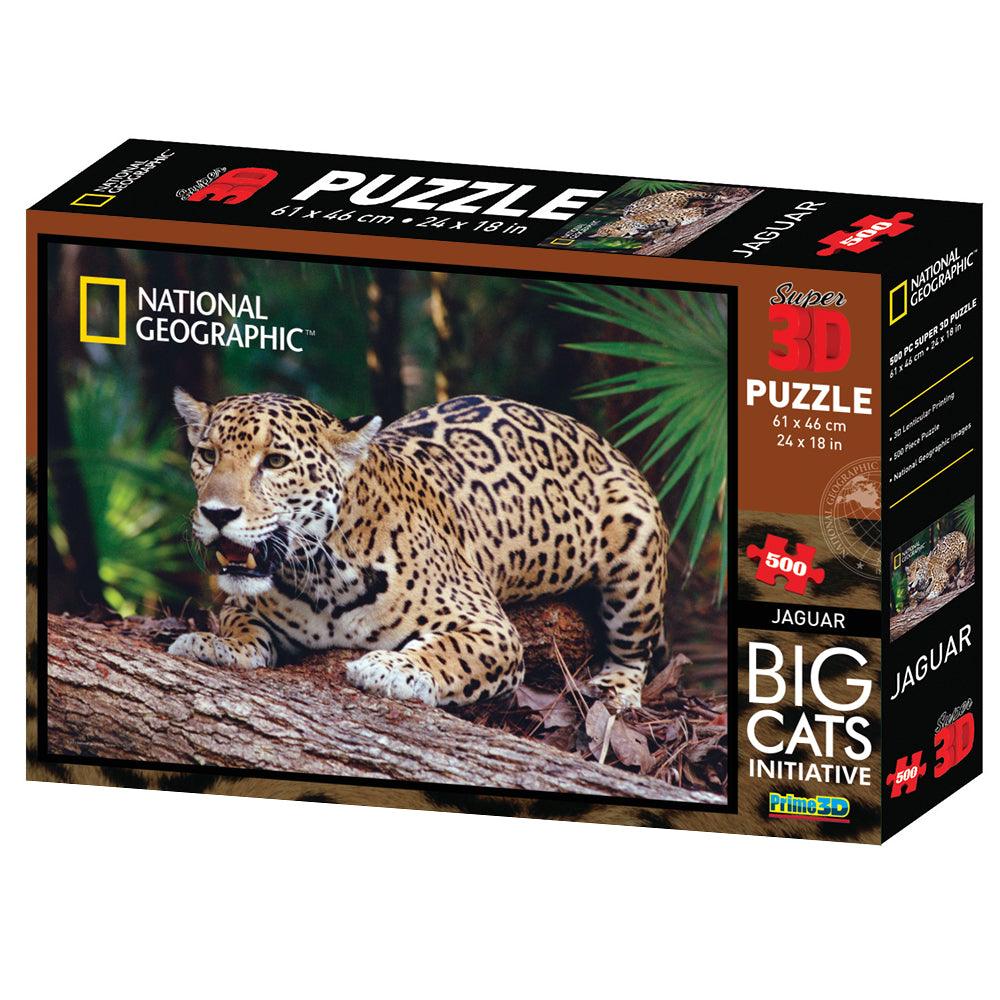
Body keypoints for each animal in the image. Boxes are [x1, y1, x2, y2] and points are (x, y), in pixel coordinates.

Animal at [166, 390, 669, 710]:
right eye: (208, 455)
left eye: (275, 462)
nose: (216, 513)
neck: (321, 577)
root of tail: (605, 444)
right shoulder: (243, 602)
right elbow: (239, 622)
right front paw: (217, 645)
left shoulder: (490, 628)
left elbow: (449, 650)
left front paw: (392, 668)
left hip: (635, 562)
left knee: (634, 651)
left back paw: (613, 692)